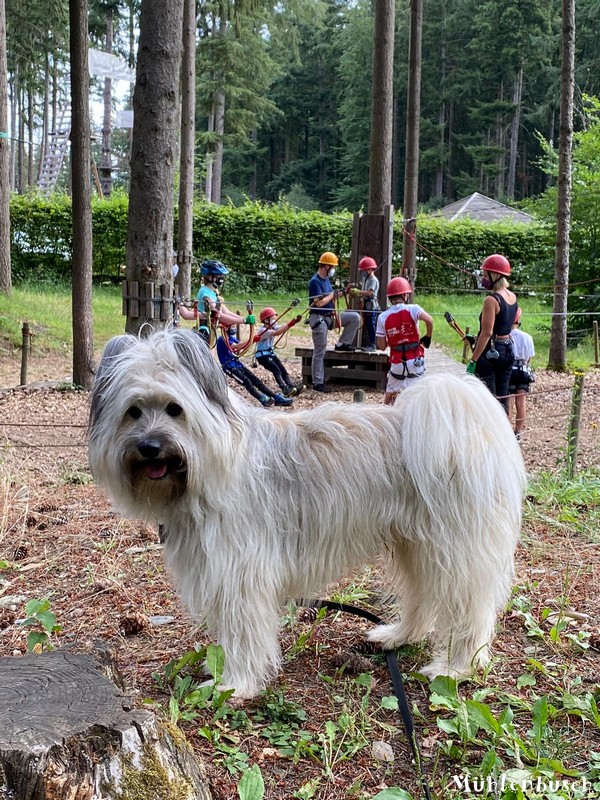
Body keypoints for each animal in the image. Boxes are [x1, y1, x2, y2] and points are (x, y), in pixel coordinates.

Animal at [88, 328, 524, 696]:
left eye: (174, 409)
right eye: (133, 412)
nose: (149, 448)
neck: (213, 464)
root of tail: (464, 422)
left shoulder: (242, 575)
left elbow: (243, 634)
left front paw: (235, 684)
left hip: (457, 551)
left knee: (470, 610)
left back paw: (455, 667)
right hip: (416, 546)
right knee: (423, 596)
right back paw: (399, 635)